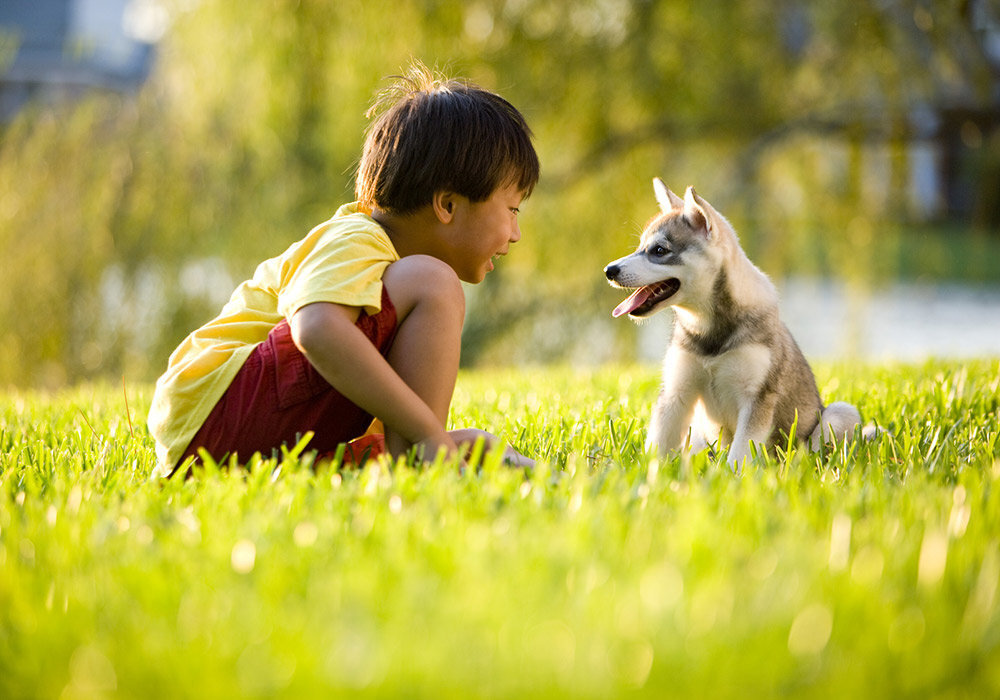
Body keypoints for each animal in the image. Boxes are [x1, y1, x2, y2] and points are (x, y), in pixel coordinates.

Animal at [600, 180, 860, 464]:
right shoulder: (676, 392)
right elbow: (657, 444)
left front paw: (734, 472)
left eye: (659, 250)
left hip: (841, 414)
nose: (609, 271)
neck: (708, 328)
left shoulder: (756, 398)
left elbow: (741, 452)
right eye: (639, 247)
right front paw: (647, 470)